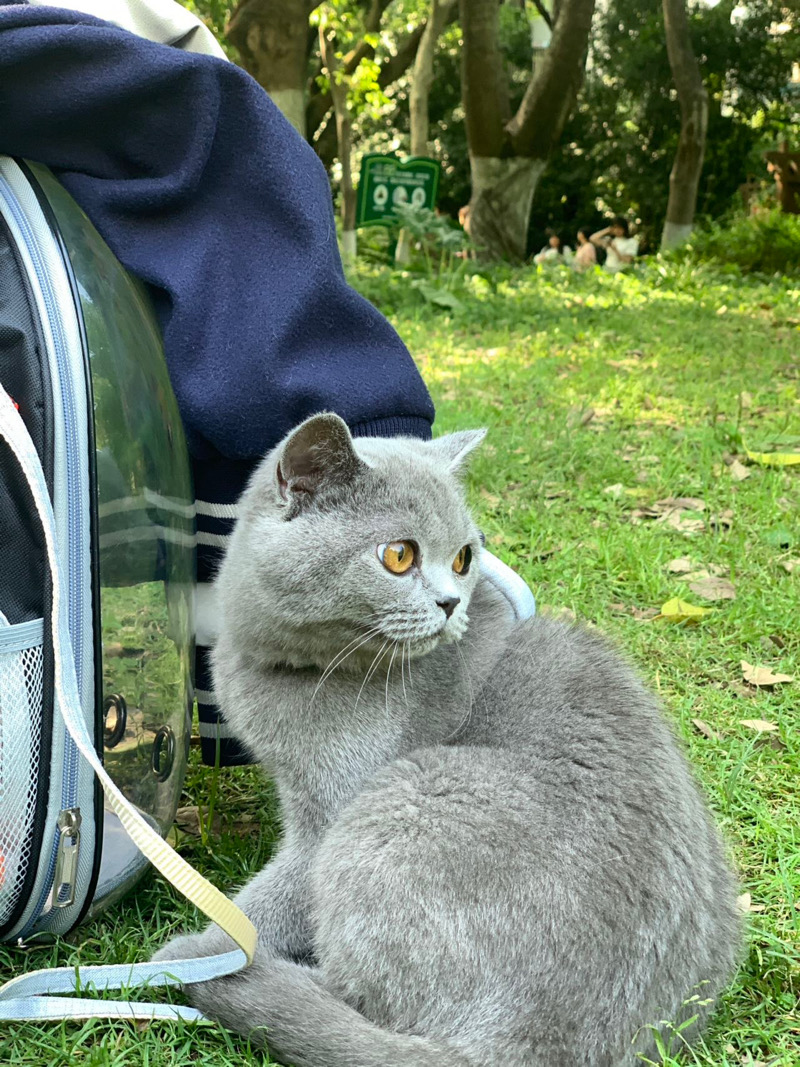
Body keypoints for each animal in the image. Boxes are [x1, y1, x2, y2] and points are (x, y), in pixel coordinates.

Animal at [153, 411, 742, 1062]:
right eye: (399, 555)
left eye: (462, 558)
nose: (451, 601)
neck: (298, 668)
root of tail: (537, 1046)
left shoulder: (328, 817)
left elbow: (267, 906)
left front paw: (196, 951)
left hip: (403, 799)